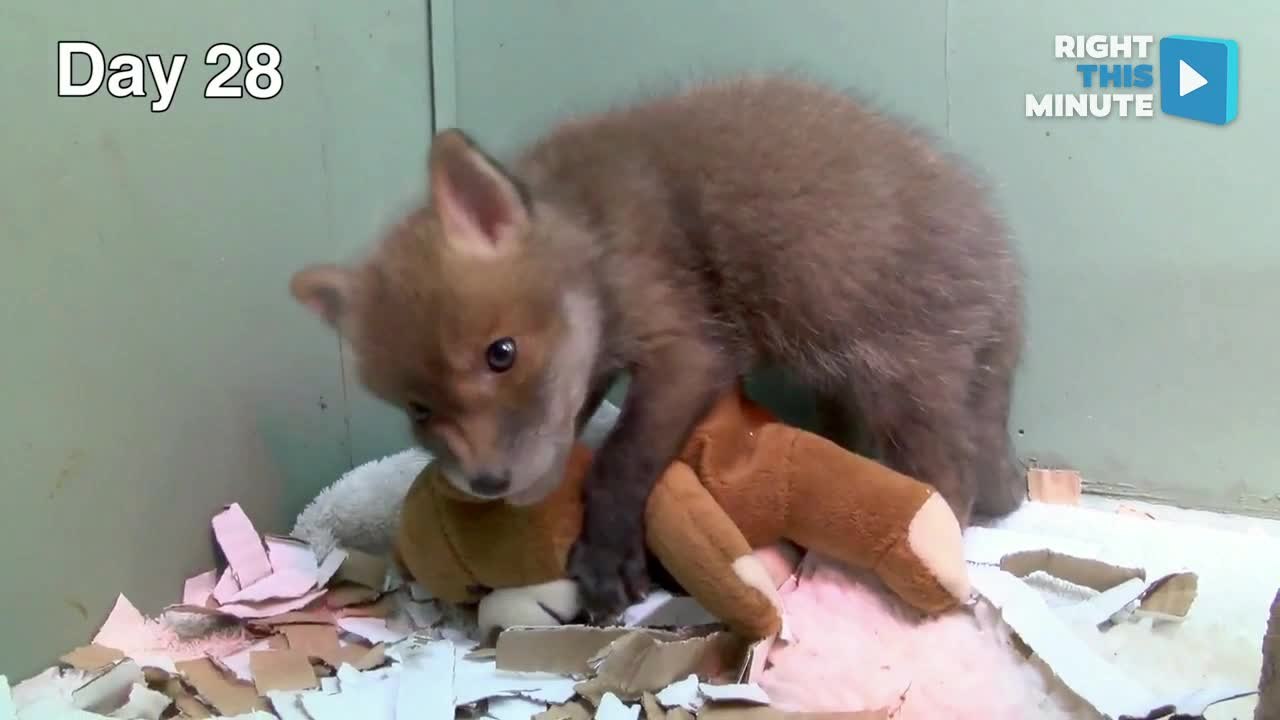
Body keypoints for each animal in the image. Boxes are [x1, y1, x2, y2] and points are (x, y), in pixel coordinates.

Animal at [289, 73, 1025, 621]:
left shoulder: (687, 347)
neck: (592, 233)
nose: (489, 484)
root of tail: (1000, 247)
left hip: (900, 379)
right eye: (419, 408)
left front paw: (605, 558)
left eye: (501, 353)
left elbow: (623, 460)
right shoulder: (602, 356)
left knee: (948, 482)